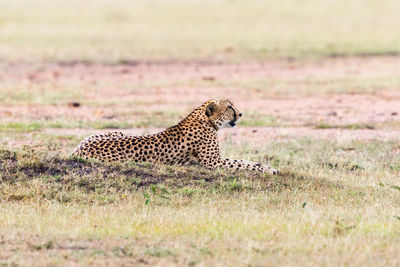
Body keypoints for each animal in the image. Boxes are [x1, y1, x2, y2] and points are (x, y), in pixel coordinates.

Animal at [71, 99, 278, 175]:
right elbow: (240, 163)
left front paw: (265, 166)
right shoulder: (213, 163)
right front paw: (268, 169)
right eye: (229, 107)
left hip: (118, 132)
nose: (241, 114)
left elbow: (240, 160)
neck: (205, 119)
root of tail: (77, 150)